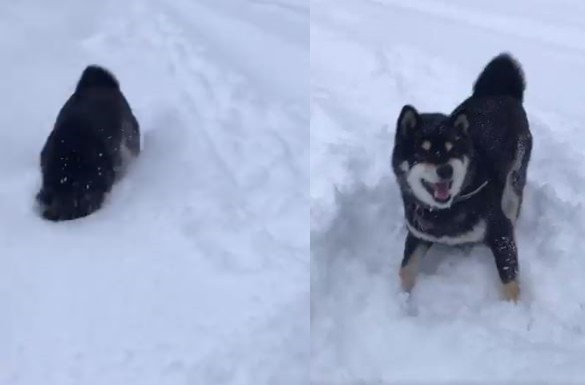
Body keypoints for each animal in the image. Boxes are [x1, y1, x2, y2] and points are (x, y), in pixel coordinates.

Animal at [390, 54, 532, 300]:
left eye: (452, 150)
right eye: (422, 153)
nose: (445, 170)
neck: (446, 209)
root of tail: (500, 93)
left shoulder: (500, 231)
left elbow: (509, 279)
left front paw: (514, 308)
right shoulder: (418, 235)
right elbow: (405, 270)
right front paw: (403, 300)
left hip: (515, 178)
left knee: (514, 203)